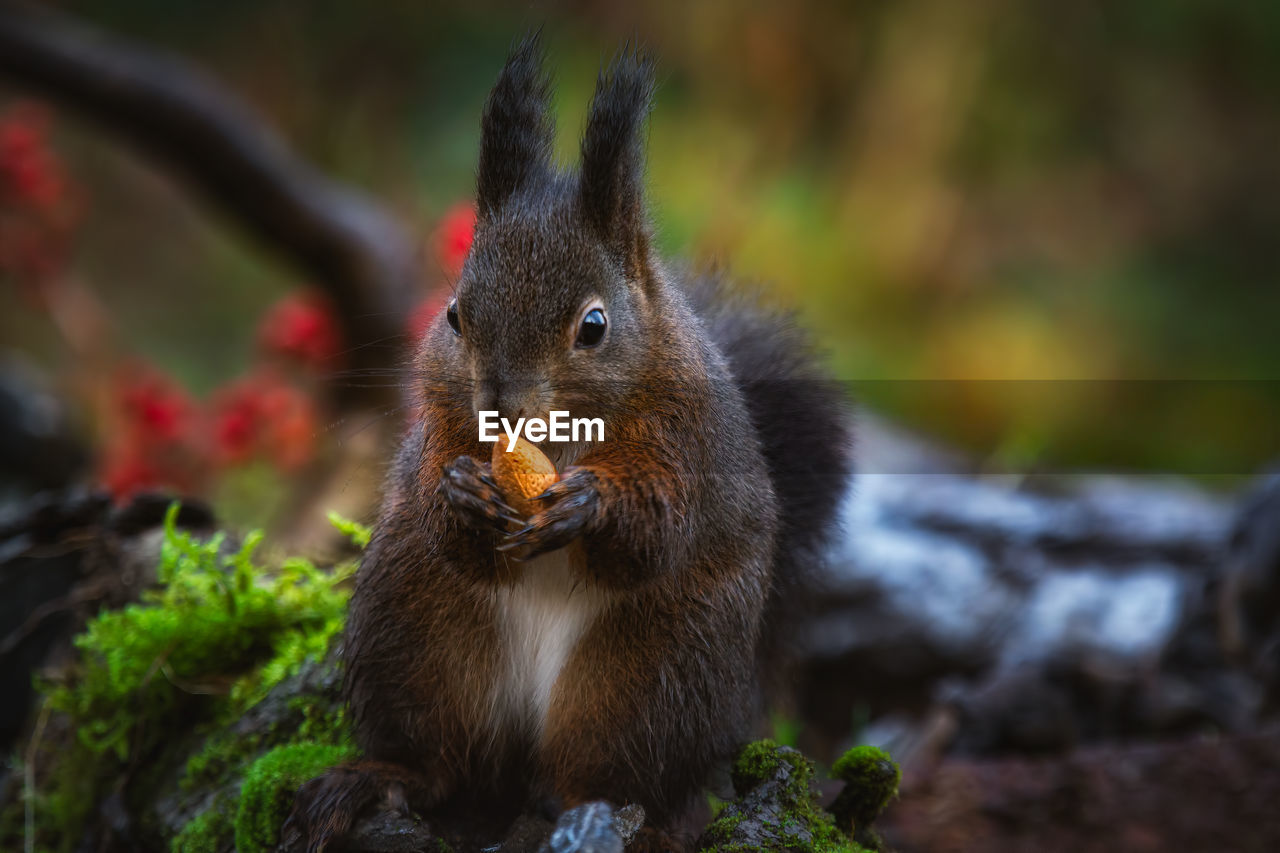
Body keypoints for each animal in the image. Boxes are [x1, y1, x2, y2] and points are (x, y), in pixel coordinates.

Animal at [290, 34, 849, 850]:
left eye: (593, 325)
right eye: (454, 315)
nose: (500, 405)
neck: (555, 442)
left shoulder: (688, 442)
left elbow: (655, 531)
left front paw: (590, 506)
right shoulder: (442, 425)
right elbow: (444, 511)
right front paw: (461, 492)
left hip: (652, 677)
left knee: (607, 772)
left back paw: (615, 814)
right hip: (414, 631)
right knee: (441, 760)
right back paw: (379, 777)